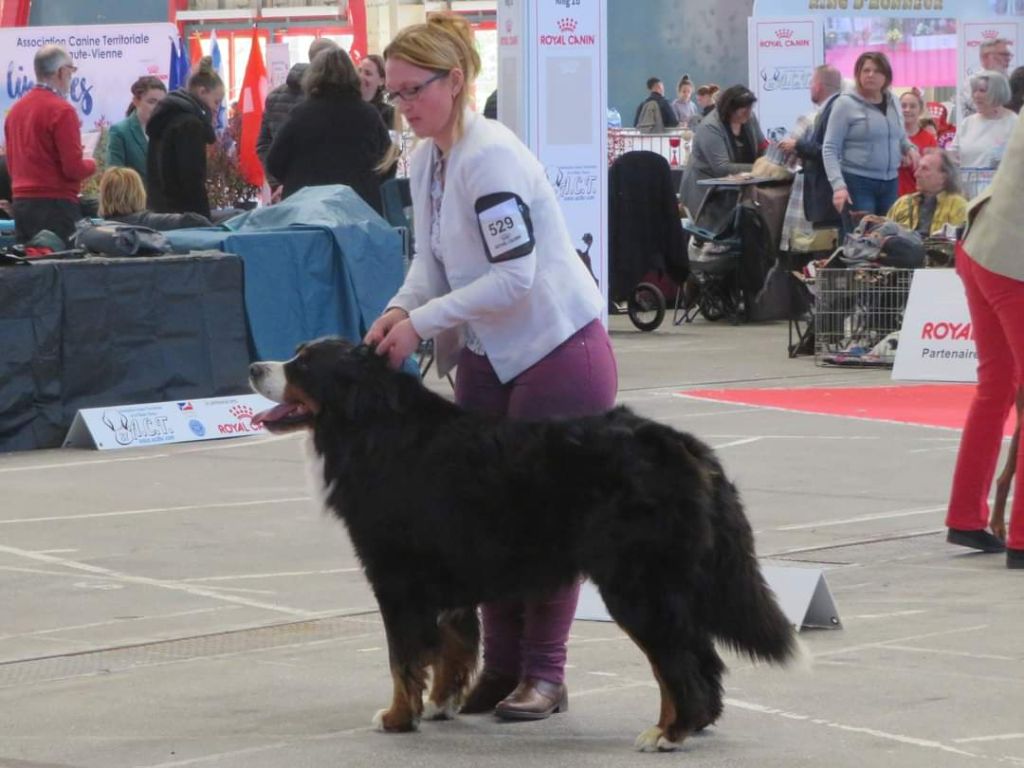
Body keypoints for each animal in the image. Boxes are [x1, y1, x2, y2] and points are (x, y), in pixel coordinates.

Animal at [249, 339, 798, 753]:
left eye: (303, 363)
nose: (254, 367)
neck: (371, 427)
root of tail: (685, 445)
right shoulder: (447, 578)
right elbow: (452, 648)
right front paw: (442, 704)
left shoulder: (396, 579)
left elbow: (403, 658)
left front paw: (398, 717)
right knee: (699, 657)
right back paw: (692, 722)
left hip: (636, 584)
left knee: (678, 662)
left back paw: (668, 732)